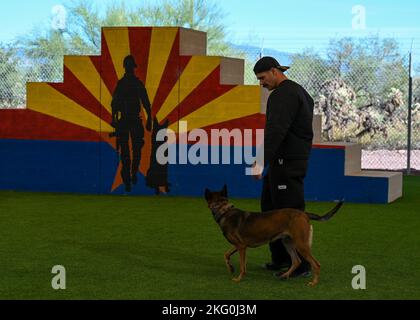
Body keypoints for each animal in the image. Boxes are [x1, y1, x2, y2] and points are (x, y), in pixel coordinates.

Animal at [205, 184, 342, 286]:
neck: (224, 210)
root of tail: (304, 214)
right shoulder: (239, 245)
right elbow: (226, 254)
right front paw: (230, 268)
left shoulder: (241, 247)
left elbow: (243, 266)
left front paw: (238, 278)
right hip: (287, 242)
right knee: (296, 261)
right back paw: (284, 275)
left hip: (301, 244)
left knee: (316, 264)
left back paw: (313, 283)